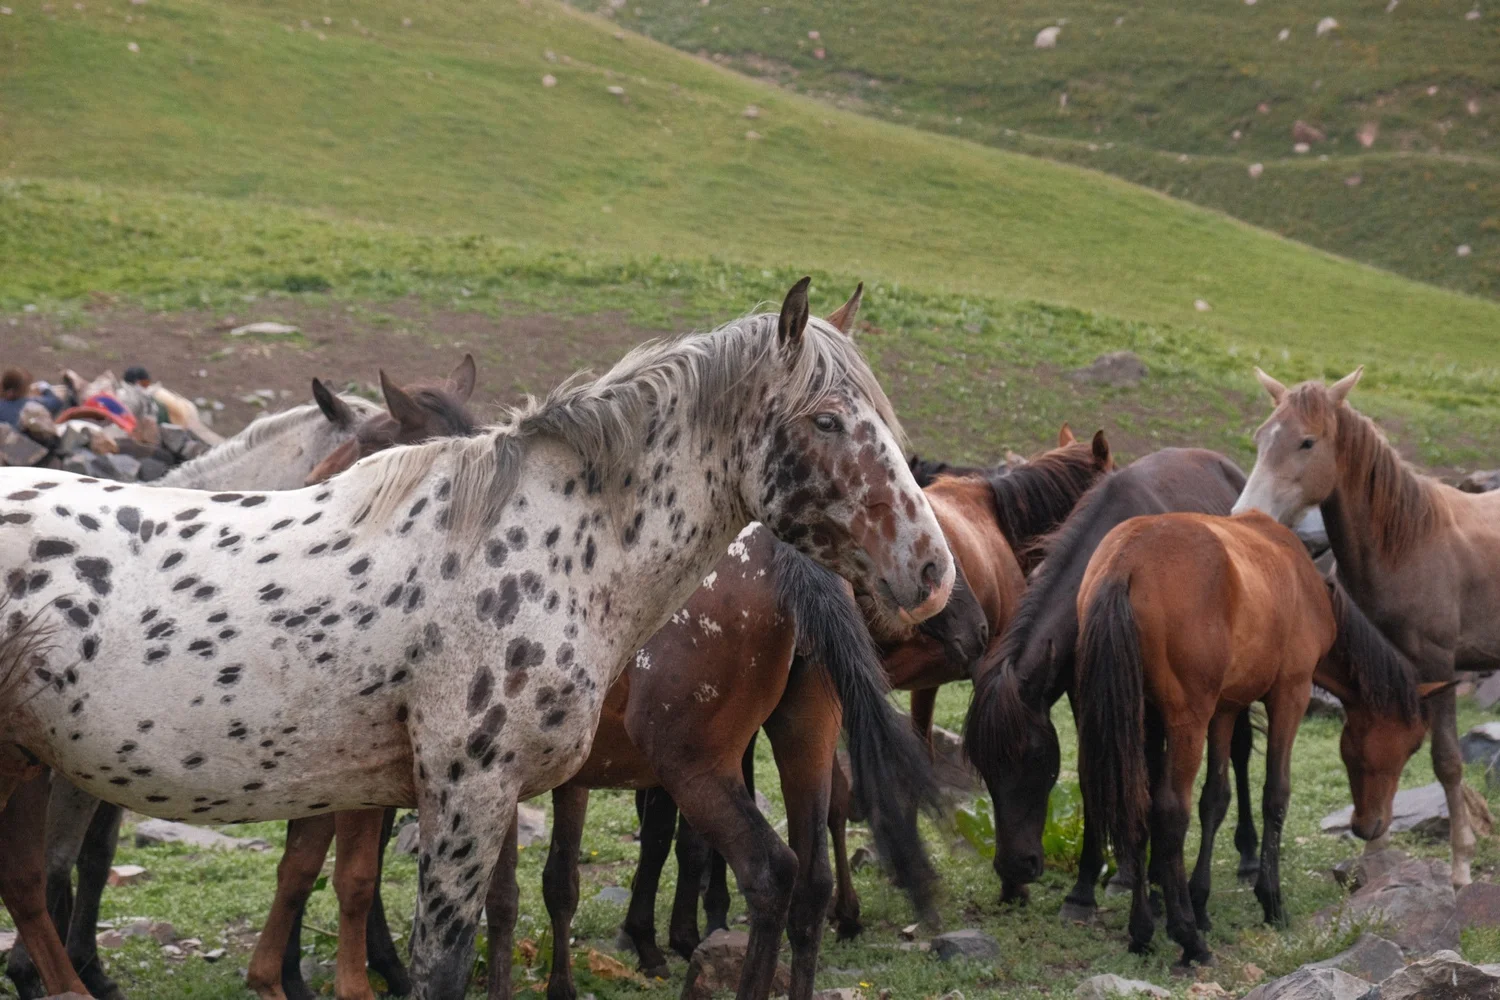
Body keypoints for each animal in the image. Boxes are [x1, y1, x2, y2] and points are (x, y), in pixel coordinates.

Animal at [0, 278, 956, 1000]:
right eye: (827, 420)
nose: (932, 569)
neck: (541, 547)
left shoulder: (473, 795)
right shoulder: (465, 792)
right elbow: (439, 958)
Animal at [963, 448, 1256, 915]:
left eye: (1034, 758)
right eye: (984, 767)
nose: (1014, 866)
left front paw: (1136, 879)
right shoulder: (1086, 694)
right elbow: (1093, 773)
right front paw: (1098, 882)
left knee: (1240, 750)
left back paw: (1247, 856)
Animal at [1074, 511, 1429, 965]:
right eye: (1413, 744)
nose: (1372, 825)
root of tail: (1126, 560)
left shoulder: (1225, 710)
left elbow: (1215, 800)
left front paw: (1201, 900)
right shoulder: (1291, 694)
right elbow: (1275, 795)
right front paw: (1270, 900)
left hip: (1142, 719)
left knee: (1137, 803)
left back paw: (1143, 931)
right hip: (1186, 721)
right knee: (1170, 812)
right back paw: (1188, 938)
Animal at [1234, 367, 1500, 888]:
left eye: (1307, 442)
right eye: (1260, 437)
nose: (1243, 516)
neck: (1411, 541)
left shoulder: (1439, 663)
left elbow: (1447, 761)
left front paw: (1460, 867)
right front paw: (1376, 857)